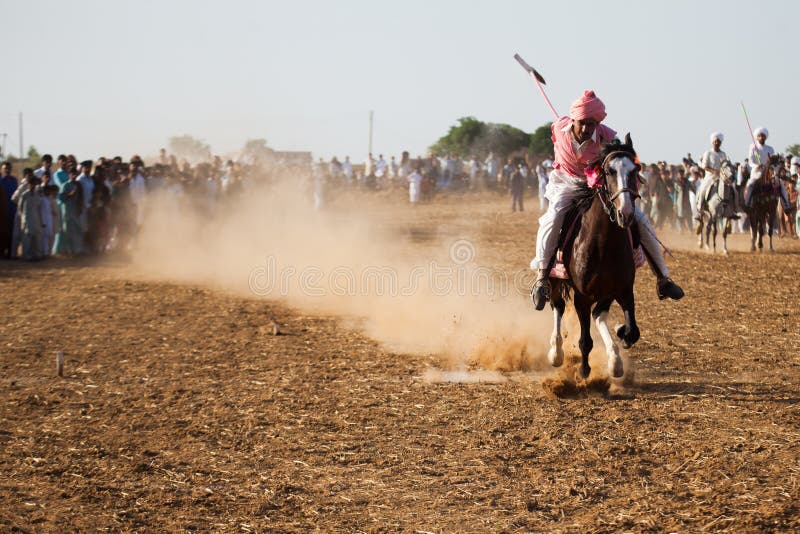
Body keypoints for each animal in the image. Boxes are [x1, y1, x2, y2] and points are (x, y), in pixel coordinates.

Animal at [548, 136, 640, 378]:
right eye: (609, 171)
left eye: (635, 170)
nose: (626, 212)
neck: (604, 244)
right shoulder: (582, 297)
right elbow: (585, 340)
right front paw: (583, 370)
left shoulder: (623, 289)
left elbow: (632, 331)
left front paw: (621, 335)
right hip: (554, 278)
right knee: (557, 305)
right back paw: (556, 352)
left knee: (598, 313)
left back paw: (615, 360)